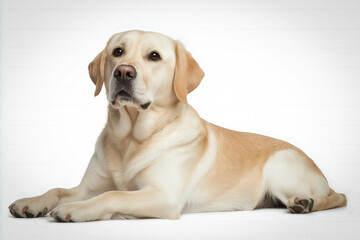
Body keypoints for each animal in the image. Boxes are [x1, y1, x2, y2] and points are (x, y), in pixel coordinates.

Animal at [7, 31, 346, 222]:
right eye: (118, 51)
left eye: (154, 56)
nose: (123, 72)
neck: (130, 138)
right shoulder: (86, 187)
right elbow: (58, 190)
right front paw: (30, 202)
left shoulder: (163, 194)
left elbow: (113, 196)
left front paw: (77, 210)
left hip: (281, 166)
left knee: (335, 198)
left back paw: (305, 203)